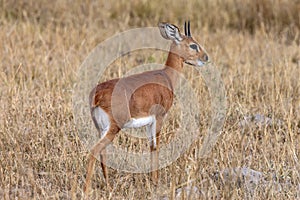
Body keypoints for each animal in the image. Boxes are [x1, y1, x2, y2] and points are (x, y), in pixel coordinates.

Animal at [82, 21, 209, 194]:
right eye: (193, 45)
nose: (206, 58)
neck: (166, 77)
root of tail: (97, 95)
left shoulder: (149, 122)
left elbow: (150, 146)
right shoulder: (159, 117)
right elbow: (156, 147)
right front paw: (155, 183)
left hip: (101, 129)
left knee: (103, 154)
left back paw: (107, 185)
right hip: (113, 128)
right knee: (94, 151)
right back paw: (87, 189)